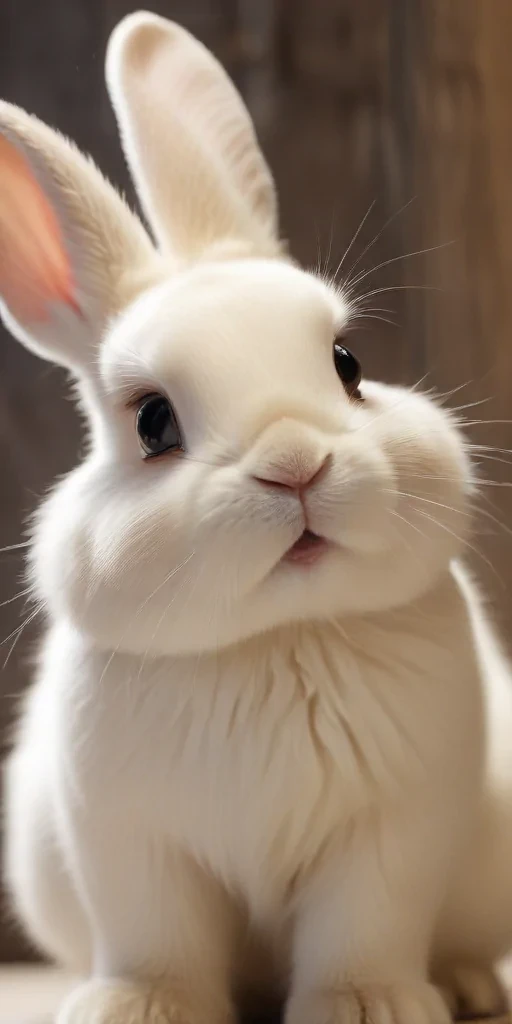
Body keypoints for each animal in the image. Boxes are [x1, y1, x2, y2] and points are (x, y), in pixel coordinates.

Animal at [2, 10, 512, 1024]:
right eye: (153, 422)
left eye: (348, 364)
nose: (295, 463)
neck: (281, 637)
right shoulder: (132, 847)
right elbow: (158, 940)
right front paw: (135, 1006)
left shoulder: (388, 836)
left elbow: (363, 929)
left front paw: (370, 1005)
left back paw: (467, 985)